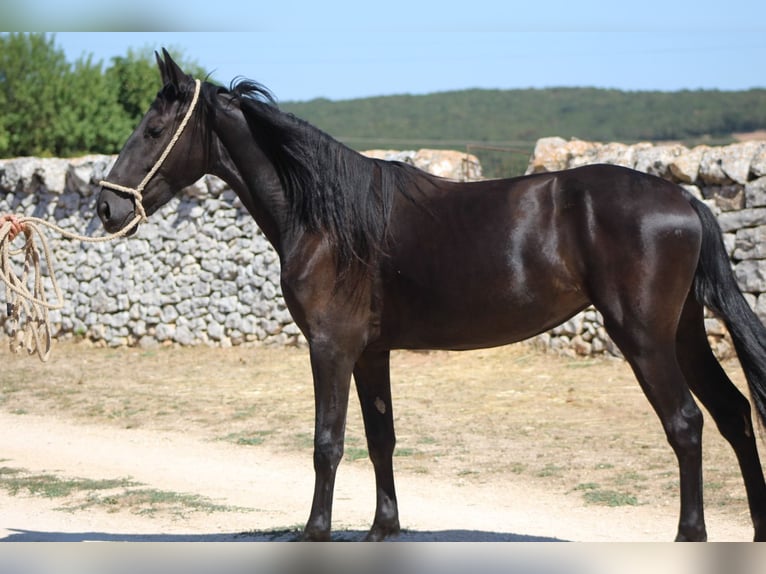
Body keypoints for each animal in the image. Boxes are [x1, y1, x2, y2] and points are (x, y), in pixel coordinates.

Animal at [97, 49, 766, 542]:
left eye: (154, 129)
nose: (105, 207)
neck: (328, 218)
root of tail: (684, 200)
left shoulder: (330, 348)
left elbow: (327, 443)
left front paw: (315, 532)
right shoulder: (370, 353)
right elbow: (381, 437)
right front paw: (381, 528)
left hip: (645, 337)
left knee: (686, 424)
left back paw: (689, 535)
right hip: (683, 333)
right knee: (734, 414)